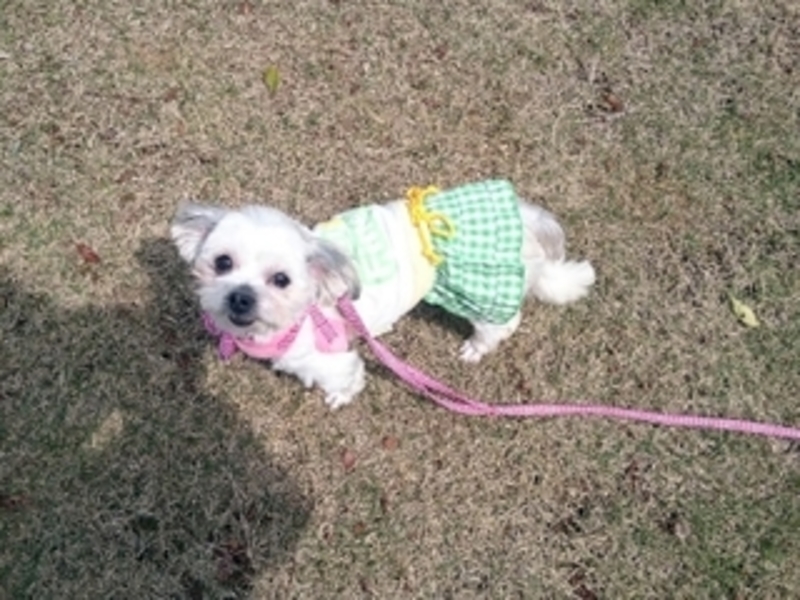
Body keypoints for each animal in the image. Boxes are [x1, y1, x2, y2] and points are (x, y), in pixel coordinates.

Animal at [171, 179, 595, 409]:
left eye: (281, 279)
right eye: (223, 263)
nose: (240, 297)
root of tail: (524, 216)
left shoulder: (330, 360)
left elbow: (347, 378)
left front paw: (340, 398)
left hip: (479, 288)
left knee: (501, 323)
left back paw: (477, 346)